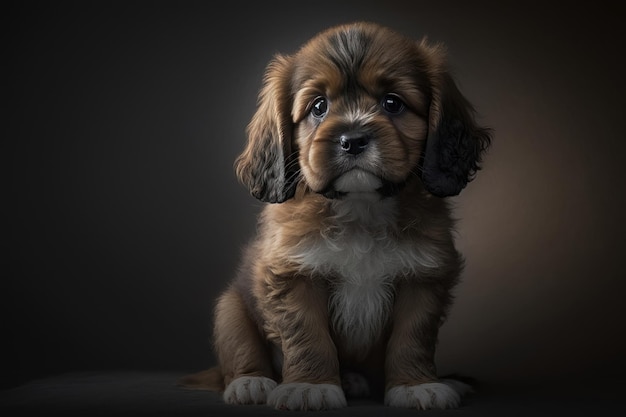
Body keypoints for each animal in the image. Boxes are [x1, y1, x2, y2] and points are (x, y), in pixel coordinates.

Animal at [178, 22, 490, 410]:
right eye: (319, 106)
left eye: (392, 103)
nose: (352, 140)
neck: (361, 208)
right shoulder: (293, 275)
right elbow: (307, 334)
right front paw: (309, 386)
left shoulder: (423, 278)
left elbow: (413, 337)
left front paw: (416, 385)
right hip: (230, 308)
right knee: (240, 349)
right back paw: (251, 382)